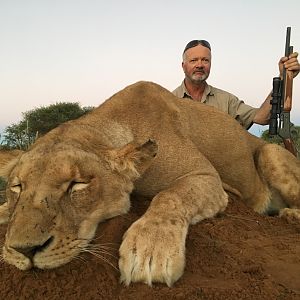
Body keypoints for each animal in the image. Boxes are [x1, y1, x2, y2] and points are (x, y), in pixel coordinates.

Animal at [0, 81, 300, 288]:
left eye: (78, 184)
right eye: (17, 187)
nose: (25, 251)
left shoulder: (205, 176)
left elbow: (170, 196)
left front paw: (150, 252)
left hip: (269, 152)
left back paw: (291, 216)